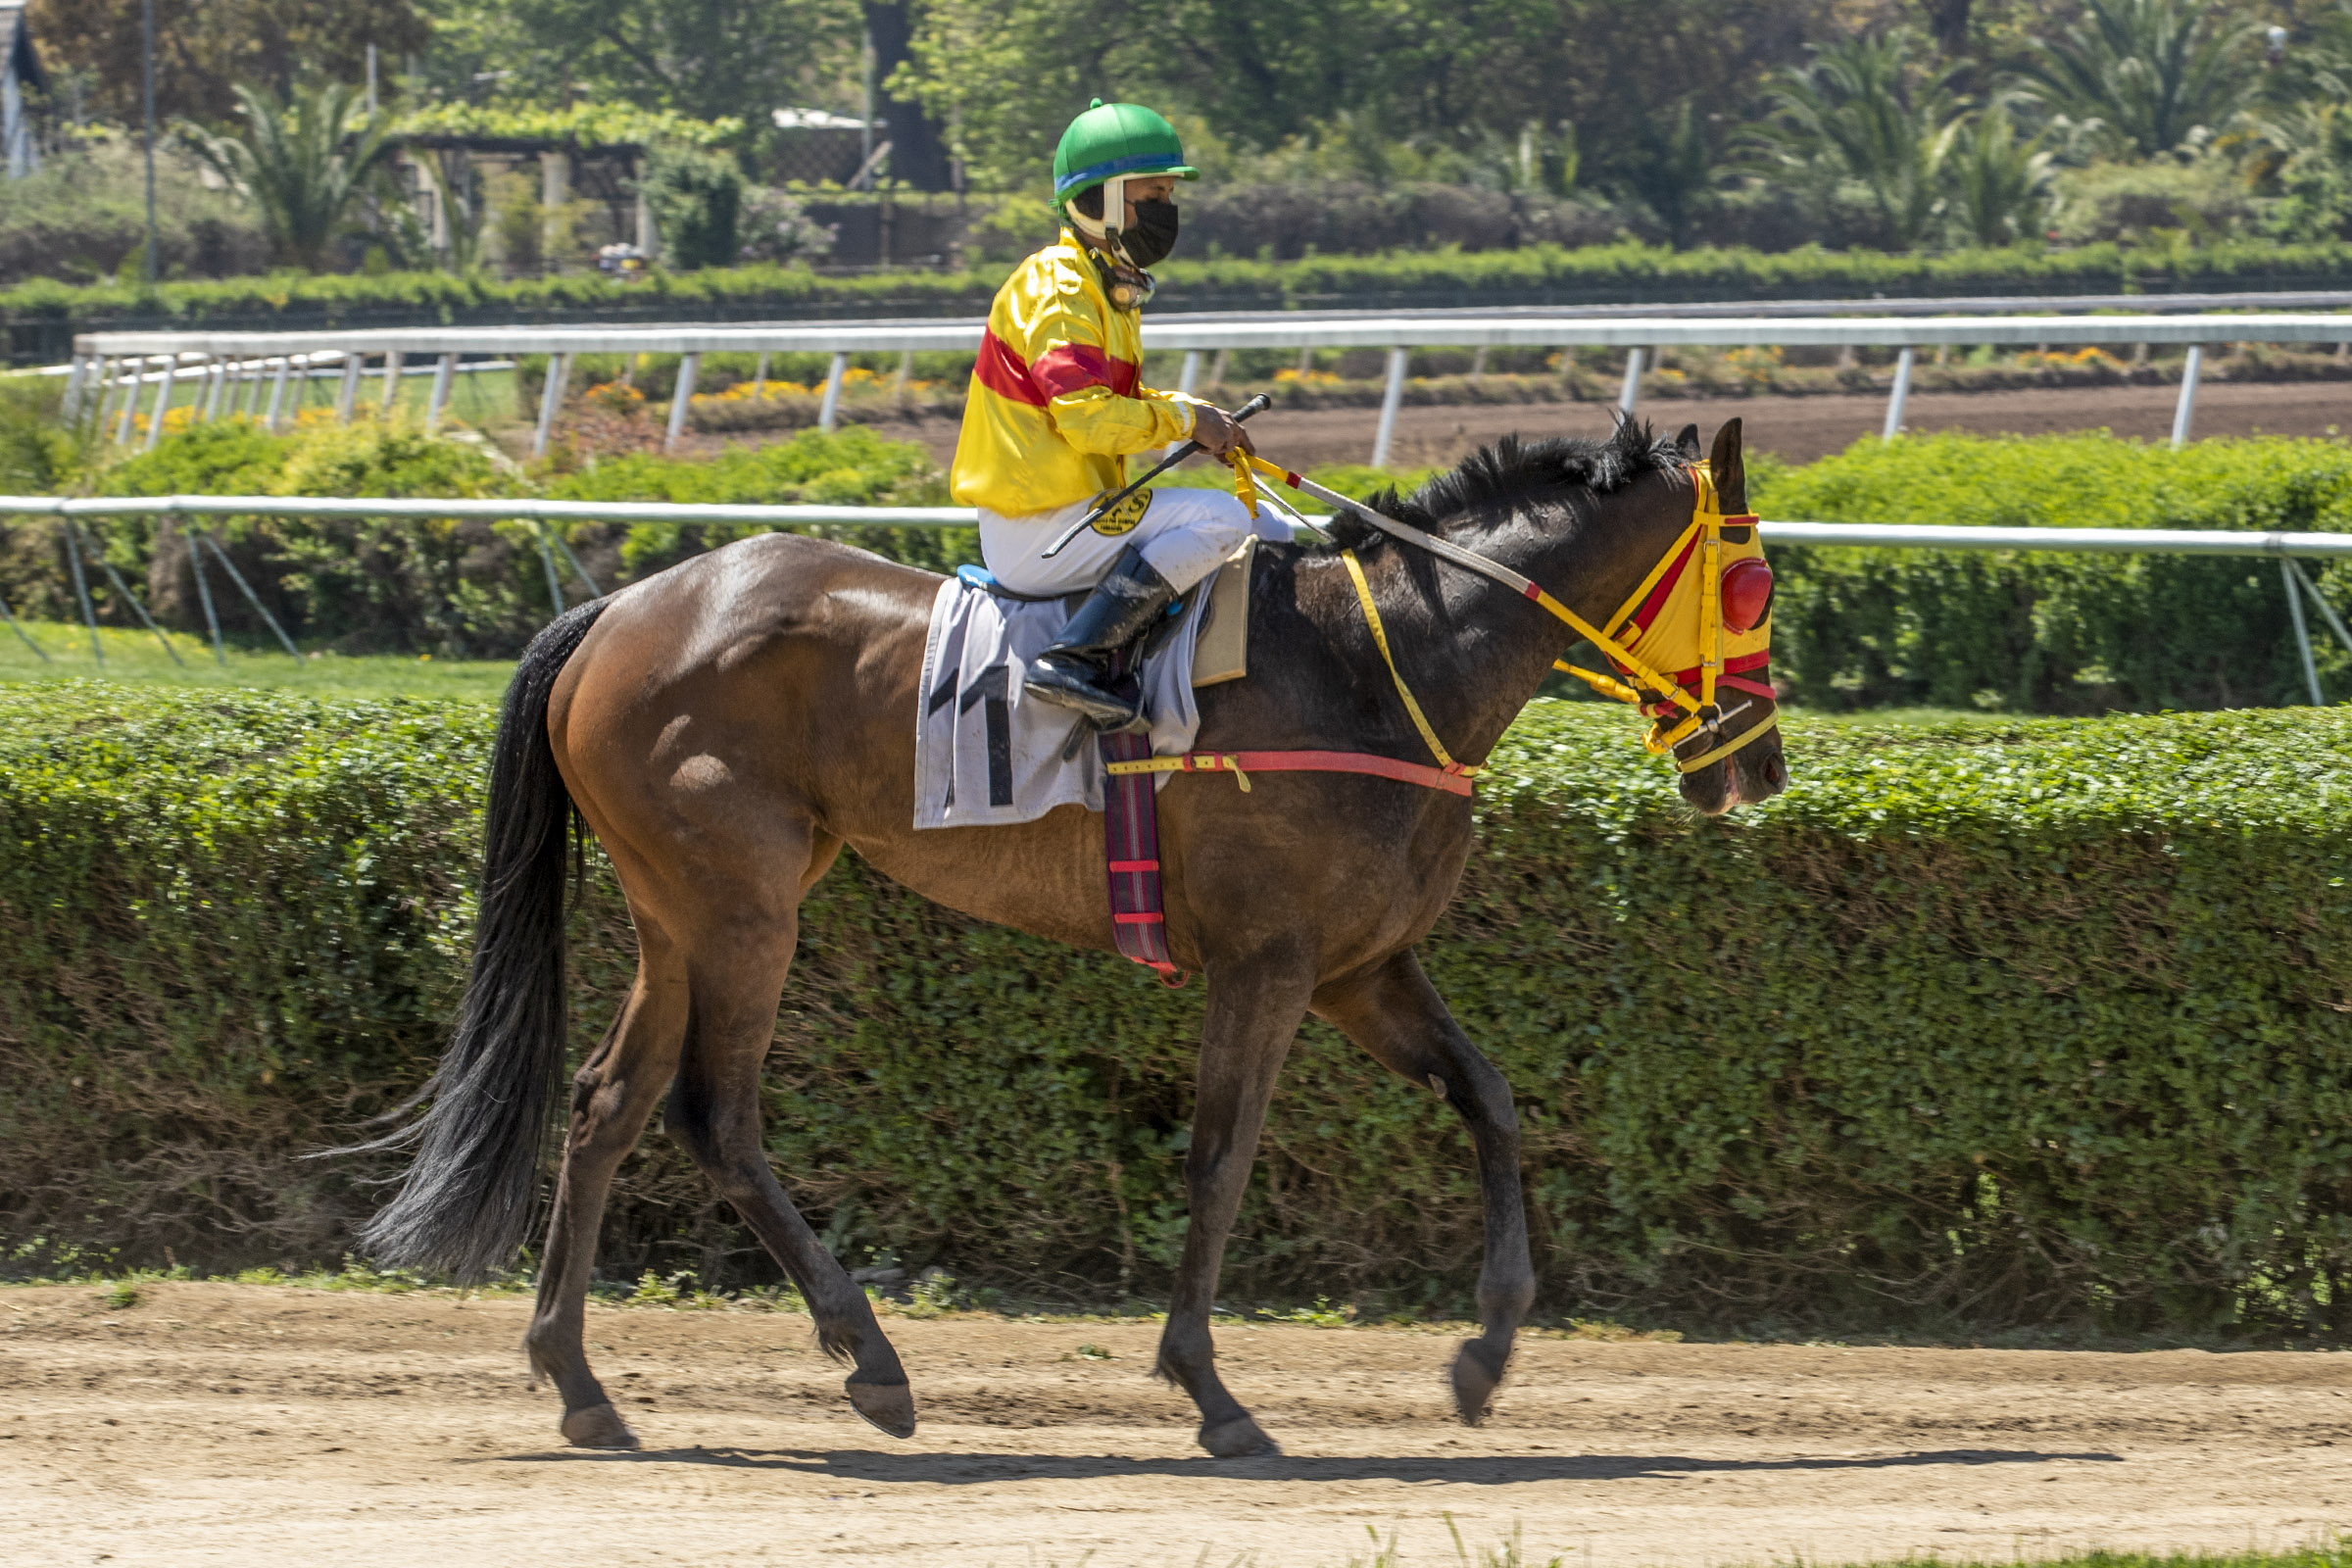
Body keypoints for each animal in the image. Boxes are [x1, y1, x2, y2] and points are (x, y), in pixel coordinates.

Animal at [358, 415, 1788, 1458]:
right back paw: (872, 1363)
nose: (1759, 767)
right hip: (744, 905)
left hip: (678, 914)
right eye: (1753, 580)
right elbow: (1219, 1159)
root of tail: (617, 611)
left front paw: (1486, 1353)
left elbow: (1489, 1098)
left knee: (606, 1102)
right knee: (716, 1116)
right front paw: (1212, 1393)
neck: (1376, 667)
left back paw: (582, 1384)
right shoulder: (1267, 965)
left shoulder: (1360, 968)